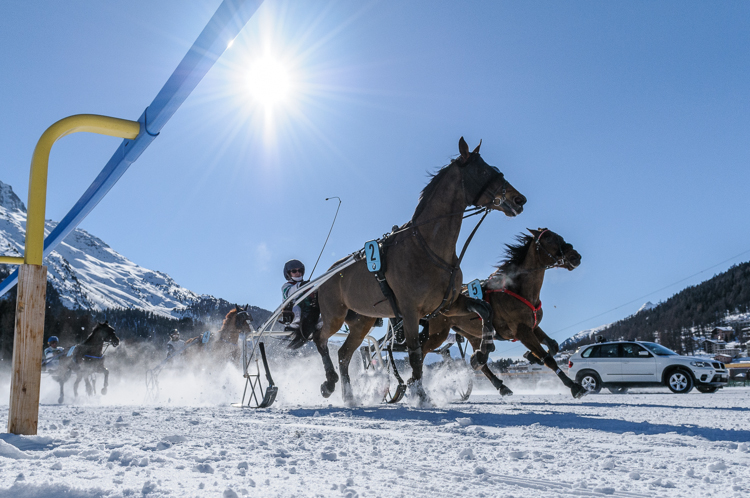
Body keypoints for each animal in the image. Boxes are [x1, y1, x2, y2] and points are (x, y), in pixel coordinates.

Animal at [290, 137, 524, 404]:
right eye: (484, 171)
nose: (519, 200)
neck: (427, 247)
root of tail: (325, 277)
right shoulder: (411, 311)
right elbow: (415, 353)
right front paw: (420, 394)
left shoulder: (447, 305)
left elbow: (484, 310)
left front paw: (482, 353)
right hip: (335, 315)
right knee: (320, 338)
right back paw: (329, 383)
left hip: (362, 321)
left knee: (344, 354)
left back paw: (349, 396)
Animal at [424, 229, 588, 396]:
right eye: (549, 239)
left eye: (560, 237)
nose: (575, 256)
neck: (517, 290)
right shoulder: (522, 331)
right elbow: (548, 359)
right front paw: (574, 386)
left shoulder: (533, 326)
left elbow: (553, 346)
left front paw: (532, 356)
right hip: (438, 333)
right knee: (422, 351)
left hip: (471, 334)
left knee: (481, 361)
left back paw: (497, 381)